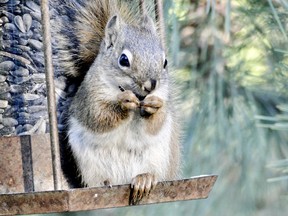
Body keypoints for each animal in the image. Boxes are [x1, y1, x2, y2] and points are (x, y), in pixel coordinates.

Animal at [51, 0, 180, 204]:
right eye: (124, 59)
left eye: (165, 61)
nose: (151, 85)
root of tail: (124, 180)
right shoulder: (89, 97)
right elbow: (98, 117)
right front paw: (123, 103)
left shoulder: (164, 97)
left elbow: (156, 124)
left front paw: (154, 106)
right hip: (89, 163)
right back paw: (104, 182)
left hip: (159, 157)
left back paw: (145, 179)